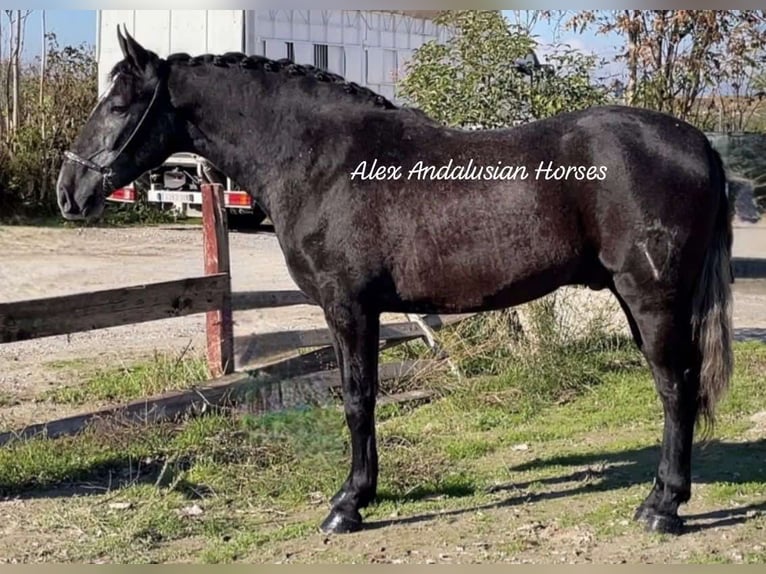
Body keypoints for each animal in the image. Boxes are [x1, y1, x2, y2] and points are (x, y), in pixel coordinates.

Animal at [57, 29, 736, 536]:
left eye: (118, 104)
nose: (70, 192)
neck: (321, 159)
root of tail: (698, 142)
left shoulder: (348, 307)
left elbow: (357, 399)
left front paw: (349, 503)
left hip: (651, 297)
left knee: (675, 388)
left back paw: (662, 508)